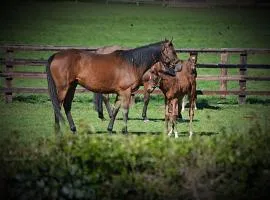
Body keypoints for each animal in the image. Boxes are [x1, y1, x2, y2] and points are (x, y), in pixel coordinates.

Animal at [47, 39, 179, 134]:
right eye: (173, 51)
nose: (178, 66)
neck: (132, 63)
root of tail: (56, 55)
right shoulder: (126, 92)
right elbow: (125, 112)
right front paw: (125, 131)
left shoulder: (120, 93)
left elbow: (115, 111)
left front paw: (110, 129)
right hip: (63, 88)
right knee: (57, 106)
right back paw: (58, 130)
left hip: (72, 86)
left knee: (67, 105)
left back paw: (73, 129)